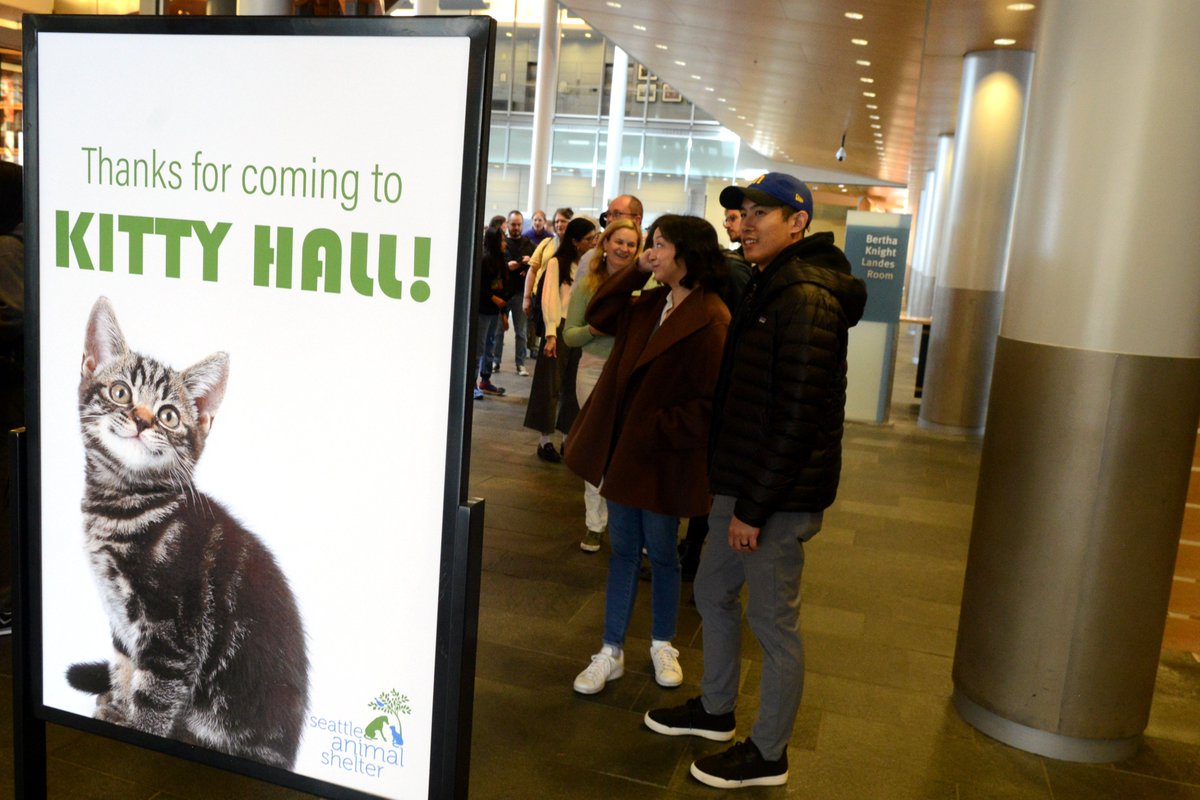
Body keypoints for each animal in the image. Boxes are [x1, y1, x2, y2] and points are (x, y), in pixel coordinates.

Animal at [68, 296, 309, 767]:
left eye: (168, 415)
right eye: (121, 392)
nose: (142, 420)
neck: (124, 504)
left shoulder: (172, 633)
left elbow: (154, 699)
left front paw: (140, 727)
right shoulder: (123, 620)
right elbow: (124, 667)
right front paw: (118, 707)